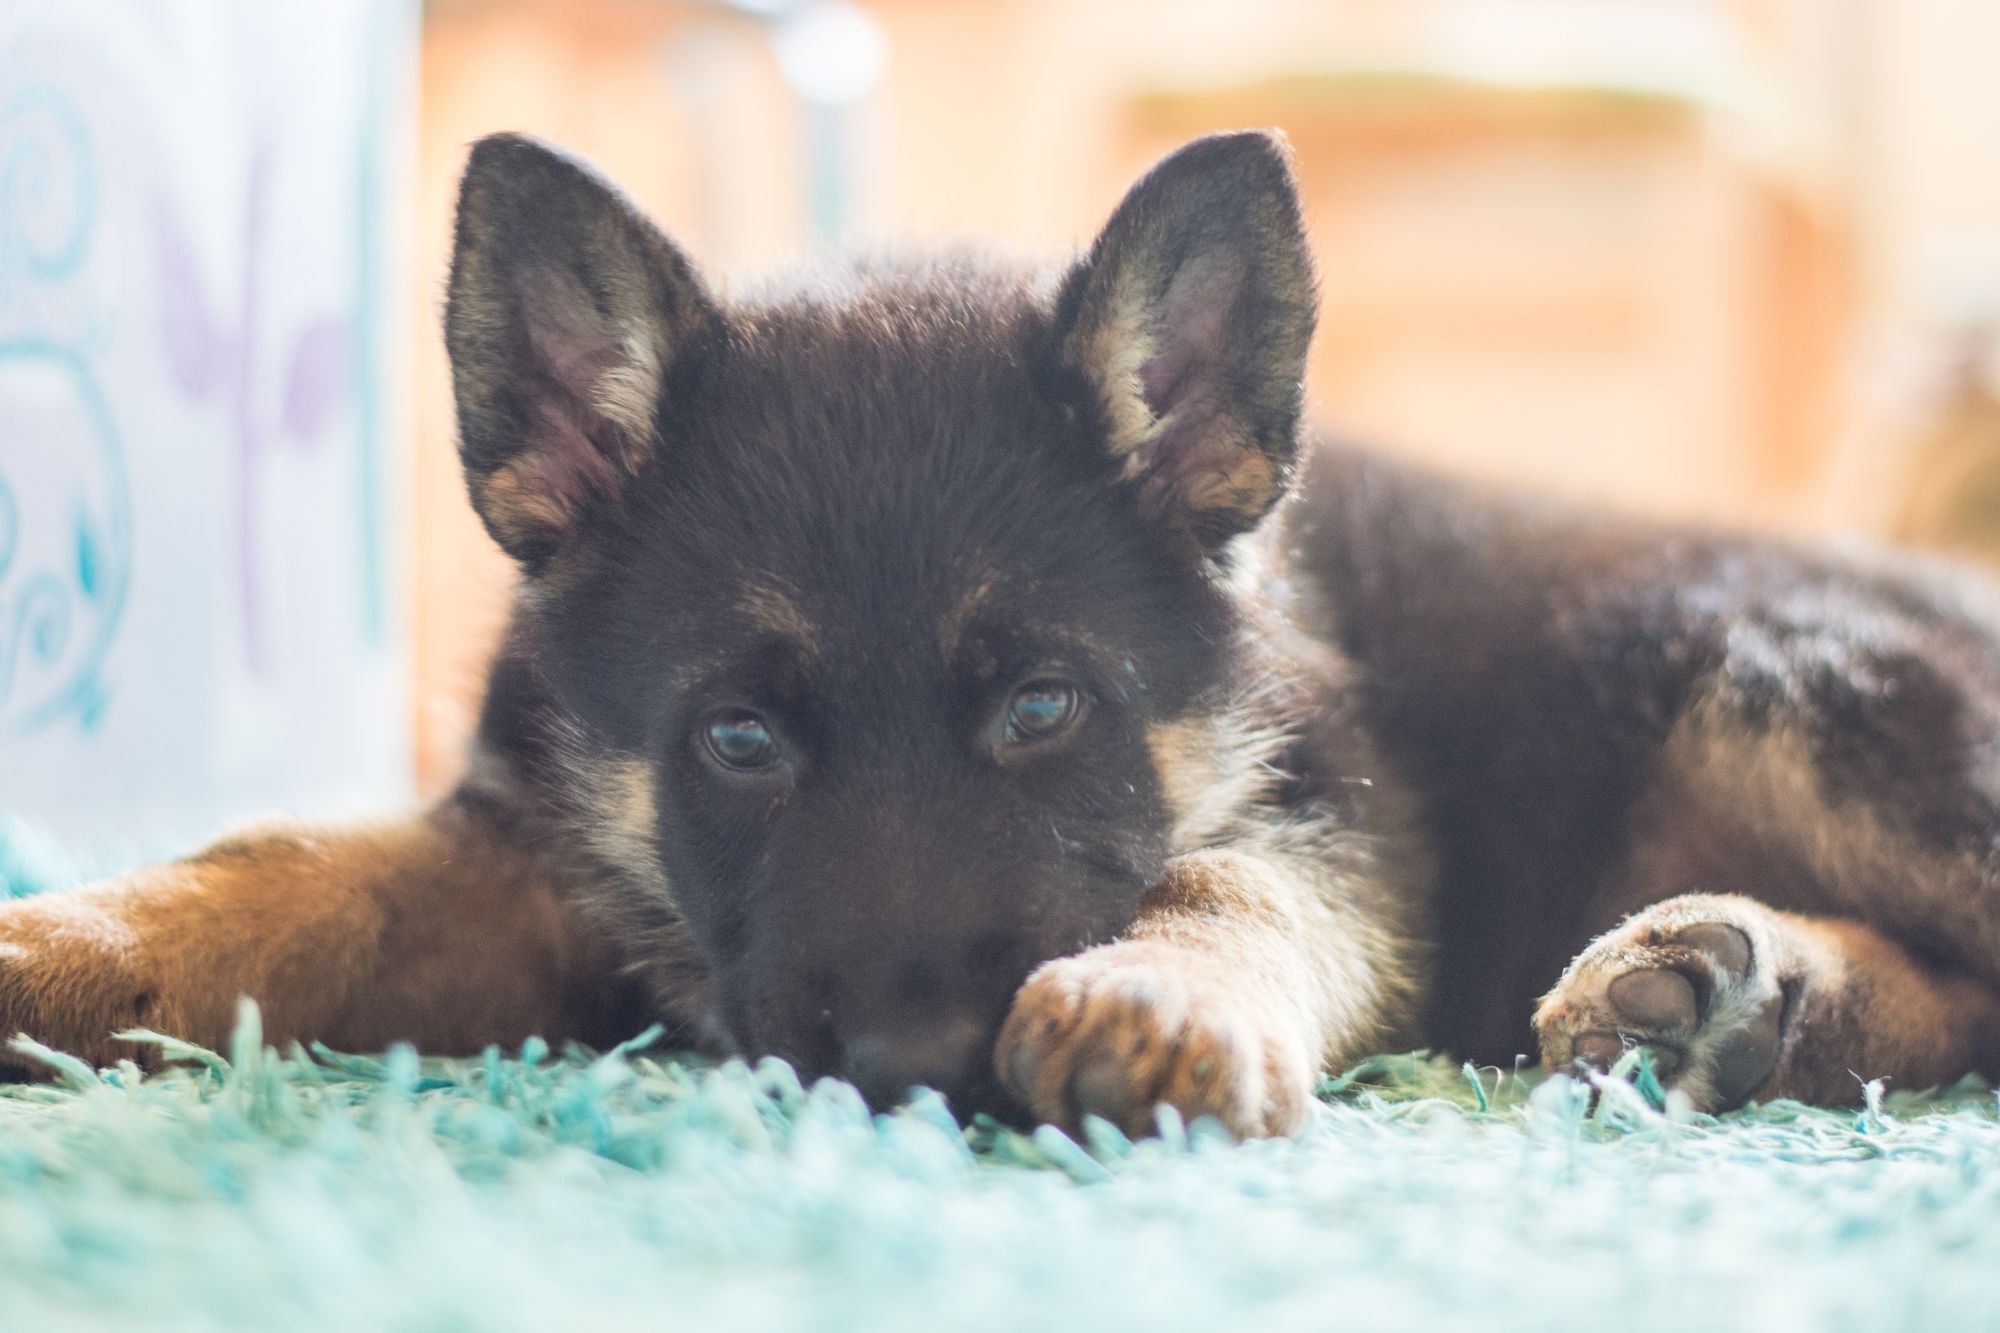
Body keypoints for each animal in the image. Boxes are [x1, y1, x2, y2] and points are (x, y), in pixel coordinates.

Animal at [3, 132, 2000, 1128]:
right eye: (738, 742)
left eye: (1044, 710)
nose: (916, 1066)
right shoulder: (528, 859)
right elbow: (280, 872)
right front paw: (64, 941)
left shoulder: (1339, 810)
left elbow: (1222, 877)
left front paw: (1158, 995)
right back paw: (1736, 998)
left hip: (1767, 669)